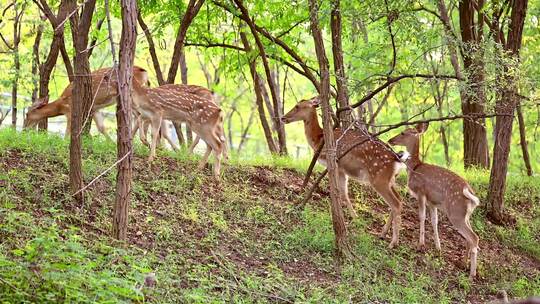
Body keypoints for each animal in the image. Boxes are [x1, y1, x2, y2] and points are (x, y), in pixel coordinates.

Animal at [280, 98, 408, 248]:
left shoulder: (334, 163)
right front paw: (356, 218)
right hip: (391, 180)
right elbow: (344, 193)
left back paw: (393, 242)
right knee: (400, 200)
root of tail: (398, 160)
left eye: (297, 106)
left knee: (396, 203)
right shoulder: (342, 169)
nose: (283, 118)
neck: (319, 139)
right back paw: (382, 234)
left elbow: (338, 191)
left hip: (379, 178)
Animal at [388, 122, 480, 280]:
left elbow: (422, 217)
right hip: (465, 214)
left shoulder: (421, 192)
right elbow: (434, 221)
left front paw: (421, 245)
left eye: (403, 133)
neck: (415, 167)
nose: (390, 140)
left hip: (455, 212)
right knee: (471, 237)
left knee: (474, 237)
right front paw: (438, 247)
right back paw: (463, 263)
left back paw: (471, 274)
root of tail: (469, 193)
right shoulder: (433, 202)